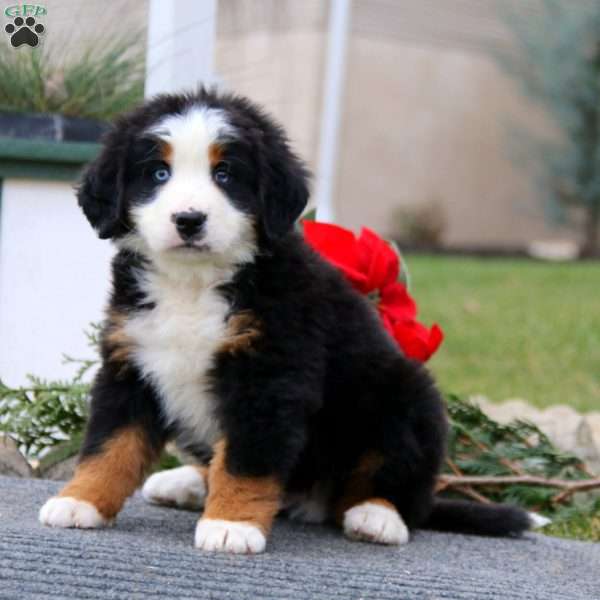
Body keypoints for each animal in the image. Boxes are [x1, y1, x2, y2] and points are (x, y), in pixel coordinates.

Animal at [39, 88, 540, 552]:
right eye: (159, 174)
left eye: (225, 174)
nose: (189, 220)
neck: (193, 284)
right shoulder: (132, 361)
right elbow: (111, 444)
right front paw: (80, 501)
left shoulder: (268, 373)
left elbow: (245, 459)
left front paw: (231, 525)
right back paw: (184, 483)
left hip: (407, 398)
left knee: (401, 485)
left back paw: (377, 516)